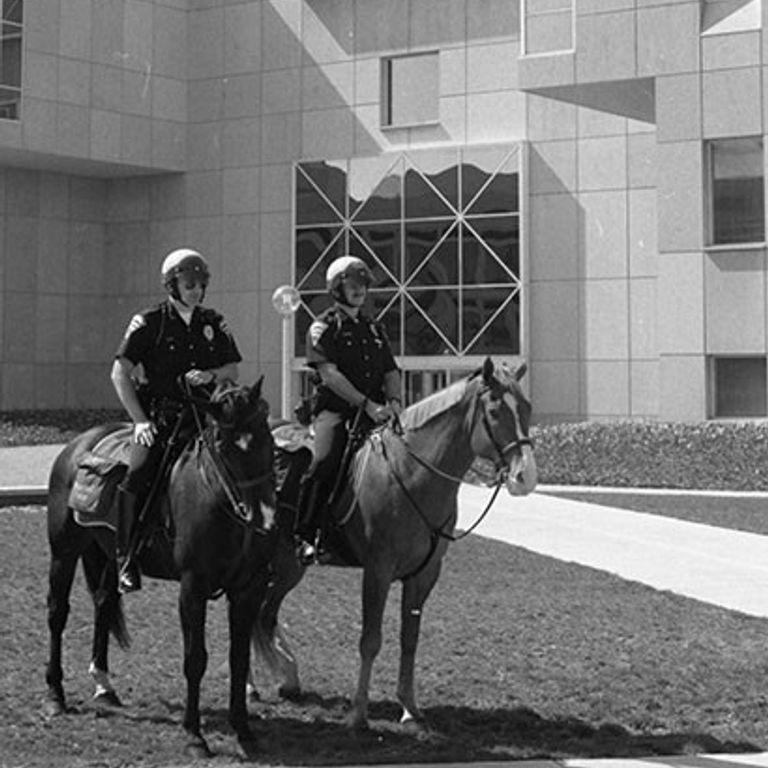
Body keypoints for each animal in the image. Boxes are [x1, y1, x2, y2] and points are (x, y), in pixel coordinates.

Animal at [42, 378, 276, 756]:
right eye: (224, 444)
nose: (263, 517)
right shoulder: (192, 588)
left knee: (104, 602)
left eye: (266, 436)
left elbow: (239, 660)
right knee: (57, 613)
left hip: (111, 554)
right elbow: (195, 659)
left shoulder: (248, 590)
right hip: (64, 551)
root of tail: (78, 445)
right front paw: (194, 734)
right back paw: (54, 695)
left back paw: (104, 685)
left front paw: (243, 731)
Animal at [249, 356, 536, 728]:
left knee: (265, 613)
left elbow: (409, 639)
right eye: (496, 410)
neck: (410, 474)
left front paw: (409, 707)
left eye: (527, 407)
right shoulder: (378, 571)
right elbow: (370, 640)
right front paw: (358, 713)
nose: (525, 477)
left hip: (288, 564)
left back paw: (288, 678)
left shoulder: (424, 574)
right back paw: (252, 686)